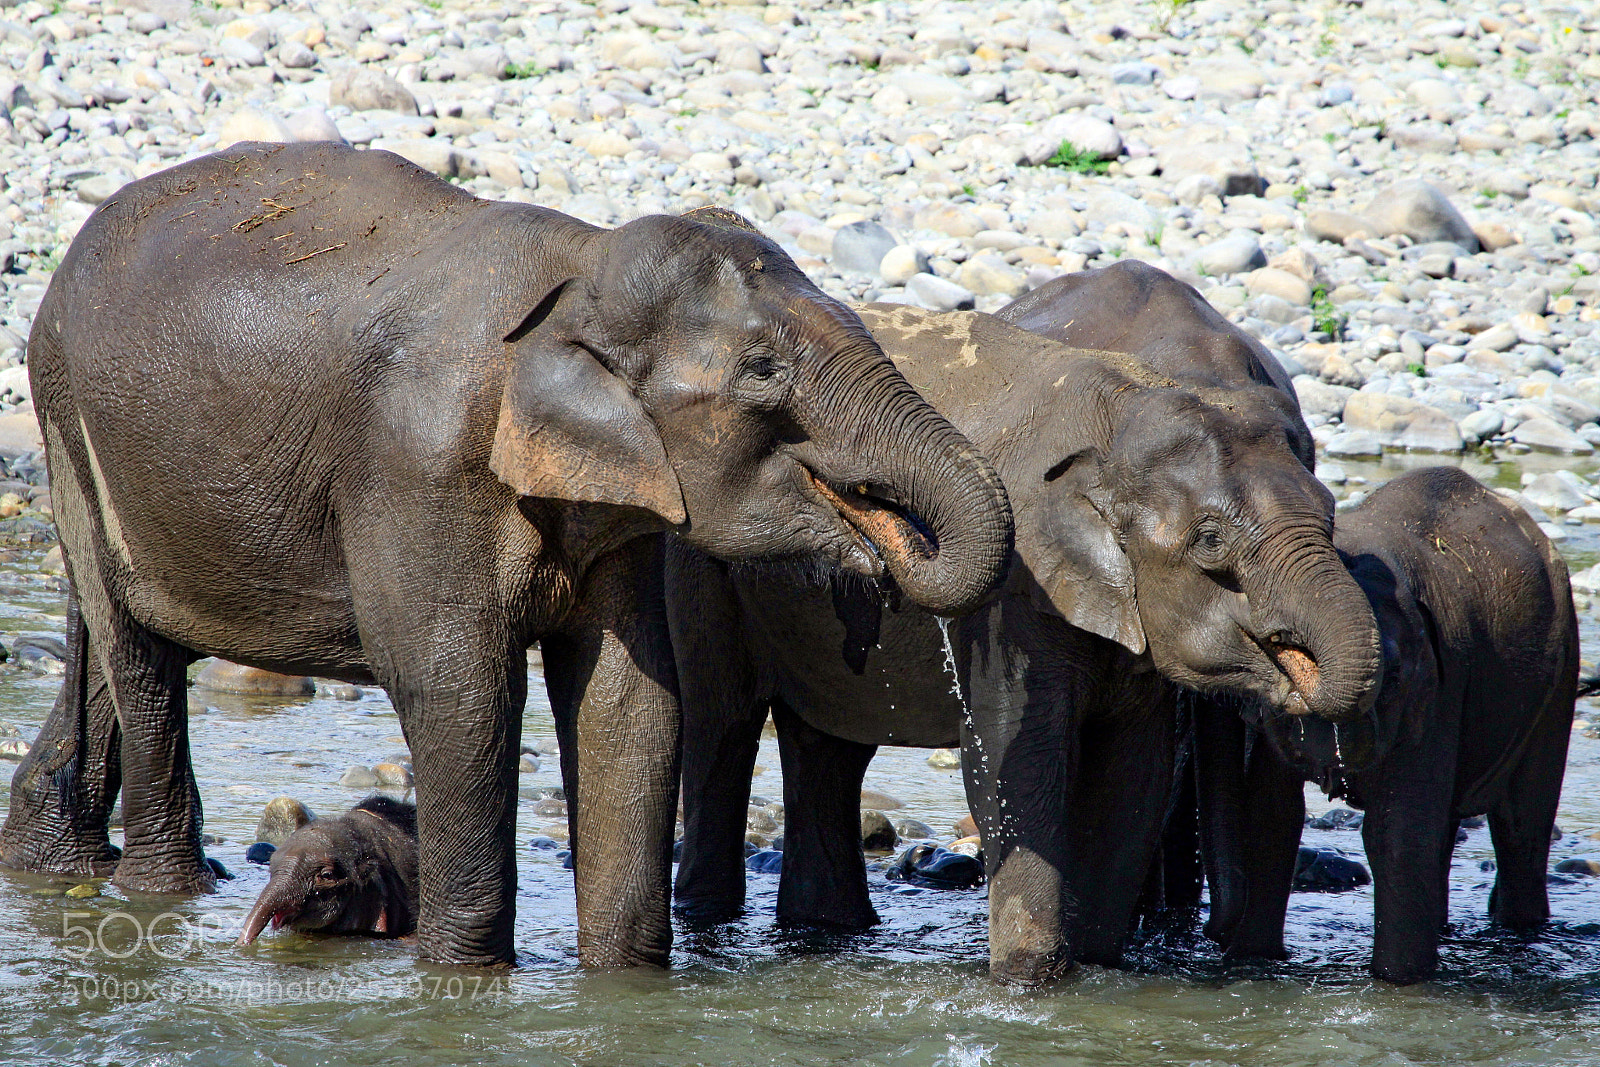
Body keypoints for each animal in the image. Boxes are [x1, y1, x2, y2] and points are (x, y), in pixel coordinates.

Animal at [670, 262, 1382, 983]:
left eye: (1330, 514)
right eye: (1210, 541)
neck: (1123, 409)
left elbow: (1133, 769)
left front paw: (1097, 966)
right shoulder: (1018, 585)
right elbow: (1018, 758)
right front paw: (1027, 981)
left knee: (827, 741)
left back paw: (826, 928)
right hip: (702, 550)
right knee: (725, 723)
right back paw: (711, 922)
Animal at [1194, 465, 1577, 984]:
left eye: (1393, 678)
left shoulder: (1437, 690)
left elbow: (1397, 832)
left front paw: (1399, 983)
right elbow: (1272, 816)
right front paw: (1253, 960)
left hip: (1559, 676)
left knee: (1523, 824)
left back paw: (1519, 934)